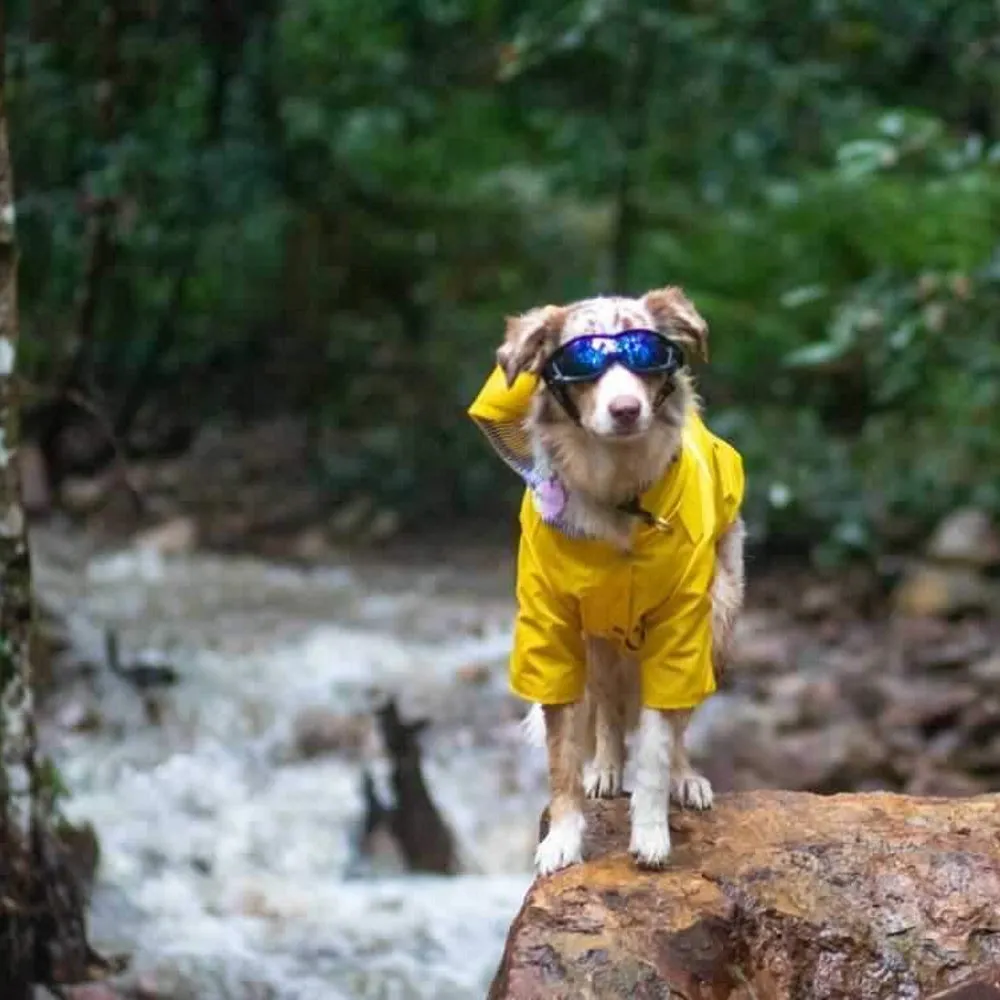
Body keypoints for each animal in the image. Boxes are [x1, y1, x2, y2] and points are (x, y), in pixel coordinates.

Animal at [468, 286, 744, 872]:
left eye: (645, 354)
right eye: (582, 362)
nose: (626, 409)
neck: (619, 494)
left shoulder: (680, 629)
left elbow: (659, 743)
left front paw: (652, 829)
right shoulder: (552, 632)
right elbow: (564, 755)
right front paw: (564, 836)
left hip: (719, 616)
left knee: (678, 718)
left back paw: (686, 777)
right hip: (599, 643)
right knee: (609, 713)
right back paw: (607, 768)